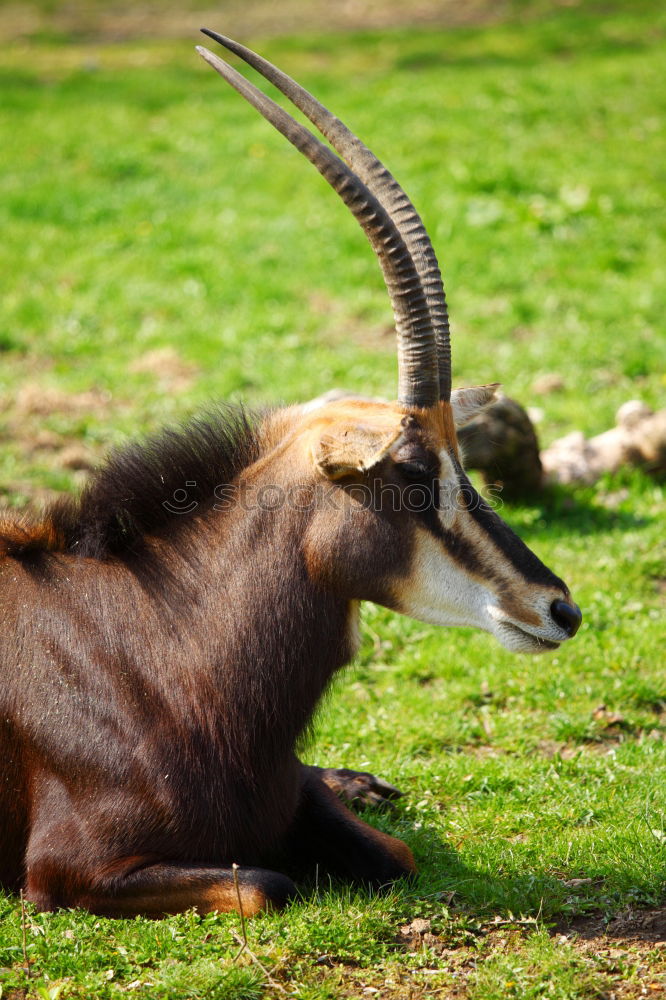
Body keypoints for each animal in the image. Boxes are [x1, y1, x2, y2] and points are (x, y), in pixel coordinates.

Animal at [0, 31, 580, 916]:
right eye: (413, 472)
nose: (559, 609)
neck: (159, 658)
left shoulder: (293, 800)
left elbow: (394, 855)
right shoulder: (70, 872)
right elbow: (265, 883)